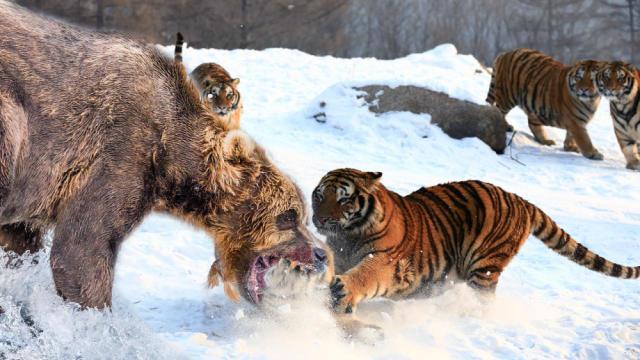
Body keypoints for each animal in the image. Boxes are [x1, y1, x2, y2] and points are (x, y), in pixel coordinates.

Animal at [0, 1, 330, 308]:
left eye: (303, 215)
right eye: (289, 216)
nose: (321, 254)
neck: (169, 156)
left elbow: (18, 240)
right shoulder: (117, 154)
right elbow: (83, 250)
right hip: (10, 120)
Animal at [312, 169, 640, 312]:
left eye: (344, 200)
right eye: (319, 196)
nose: (320, 220)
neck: (348, 236)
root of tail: (521, 200)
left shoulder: (390, 260)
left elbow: (367, 273)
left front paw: (344, 290)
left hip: (484, 268)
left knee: (485, 298)